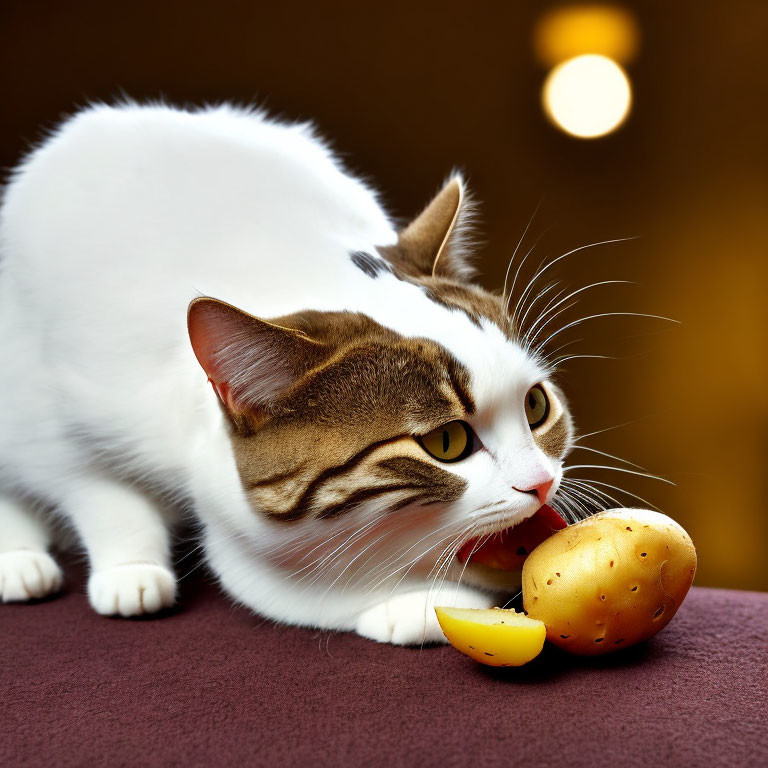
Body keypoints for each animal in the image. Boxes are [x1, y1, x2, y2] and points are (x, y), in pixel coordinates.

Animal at [0, 100, 568, 640]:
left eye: (535, 405)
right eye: (446, 442)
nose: (541, 484)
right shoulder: (54, 421)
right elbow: (102, 493)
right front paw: (130, 569)